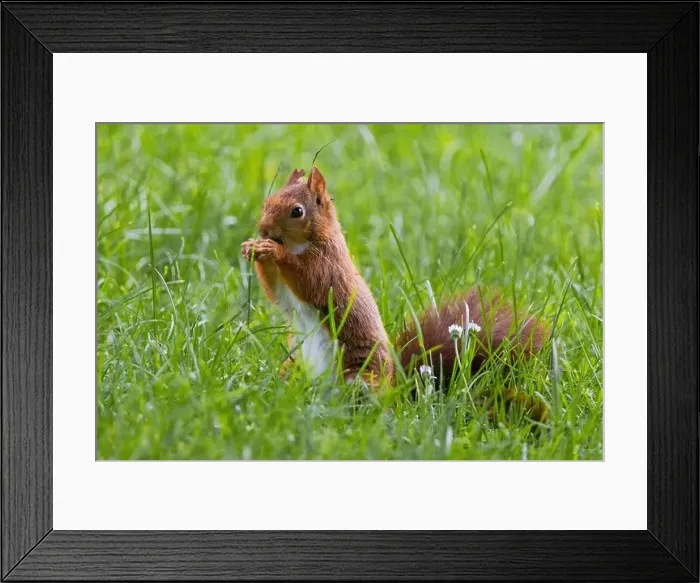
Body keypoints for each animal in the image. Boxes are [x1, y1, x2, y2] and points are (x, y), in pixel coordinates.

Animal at [241, 167, 548, 421]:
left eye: (297, 212)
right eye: (267, 202)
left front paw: (273, 251)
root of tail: (396, 389)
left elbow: (305, 278)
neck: (301, 244)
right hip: (293, 366)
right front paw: (252, 249)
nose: (263, 229)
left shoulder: (327, 268)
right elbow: (276, 293)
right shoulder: (286, 291)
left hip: (360, 377)